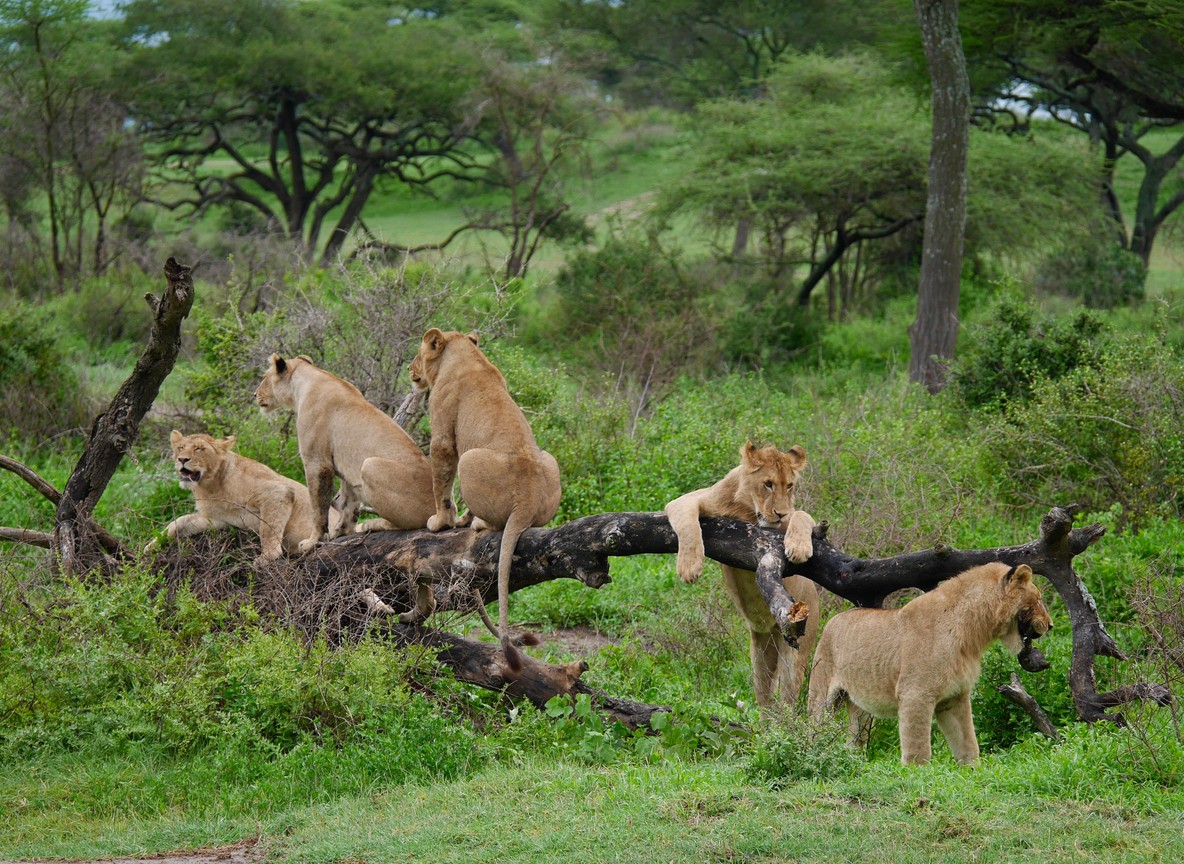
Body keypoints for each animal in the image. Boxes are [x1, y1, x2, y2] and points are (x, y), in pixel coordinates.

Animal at [145, 430, 325, 566]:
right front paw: (151, 545)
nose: (181, 459)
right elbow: (180, 521)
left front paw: (268, 556)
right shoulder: (218, 519)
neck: (210, 487)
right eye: (180, 447)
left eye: (199, 449)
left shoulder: (278, 491)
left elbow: (268, 528)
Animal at [254, 354, 435, 556]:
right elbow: (348, 503)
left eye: (265, 377)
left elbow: (318, 508)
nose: (255, 394)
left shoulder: (317, 462)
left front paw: (312, 543)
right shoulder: (345, 468)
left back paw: (371, 524)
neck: (304, 384)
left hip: (370, 465)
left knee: (406, 524)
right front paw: (340, 533)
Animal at [409, 328, 562, 670]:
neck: (463, 354)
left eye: (418, 353)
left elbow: (441, 484)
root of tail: (526, 500)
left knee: (492, 522)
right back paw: (469, 518)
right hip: (551, 460)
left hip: (469, 458)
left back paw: (474, 522)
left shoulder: (442, 435)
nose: (410, 370)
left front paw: (439, 522)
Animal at [664, 441, 820, 708]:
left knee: (787, 702)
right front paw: (688, 567)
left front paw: (799, 547)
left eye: (789, 485)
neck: (747, 511)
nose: (780, 513)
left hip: (796, 651)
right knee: (765, 702)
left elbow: (802, 515)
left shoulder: (790, 518)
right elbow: (687, 522)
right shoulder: (689, 499)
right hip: (760, 655)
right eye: (768, 484)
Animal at [807, 561, 1052, 765]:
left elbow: (967, 741)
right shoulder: (915, 693)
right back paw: (813, 753)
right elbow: (918, 748)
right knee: (814, 728)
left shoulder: (955, 696)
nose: (1050, 625)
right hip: (821, 696)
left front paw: (973, 771)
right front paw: (916, 775)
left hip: (860, 710)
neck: (973, 632)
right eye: (1039, 599)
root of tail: (833, 618)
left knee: (854, 740)